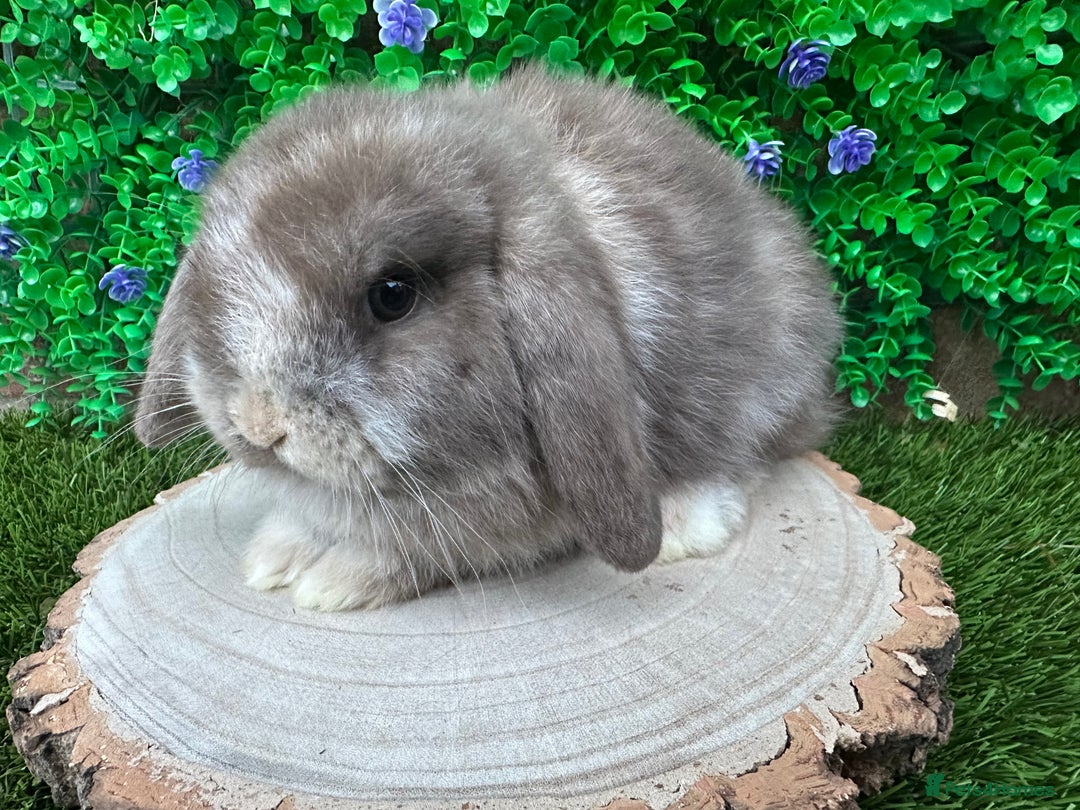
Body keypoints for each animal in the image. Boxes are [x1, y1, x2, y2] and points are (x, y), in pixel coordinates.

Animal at [135, 66, 842, 611]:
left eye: (393, 294)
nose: (259, 424)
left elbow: (430, 548)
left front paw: (336, 578)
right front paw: (278, 555)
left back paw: (684, 521)